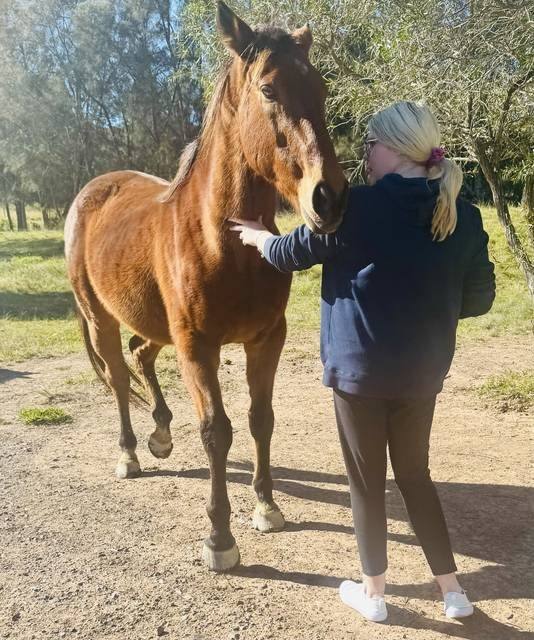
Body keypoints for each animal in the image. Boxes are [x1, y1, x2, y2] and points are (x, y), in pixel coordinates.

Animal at [64, 1, 348, 572]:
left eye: (321, 87)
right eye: (268, 89)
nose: (327, 198)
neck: (222, 240)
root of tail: (89, 193)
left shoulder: (266, 340)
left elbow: (261, 418)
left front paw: (266, 506)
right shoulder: (198, 347)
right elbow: (217, 433)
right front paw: (220, 538)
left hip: (155, 326)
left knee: (141, 355)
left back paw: (160, 434)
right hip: (103, 317)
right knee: (119, 374)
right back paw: (130, 452)